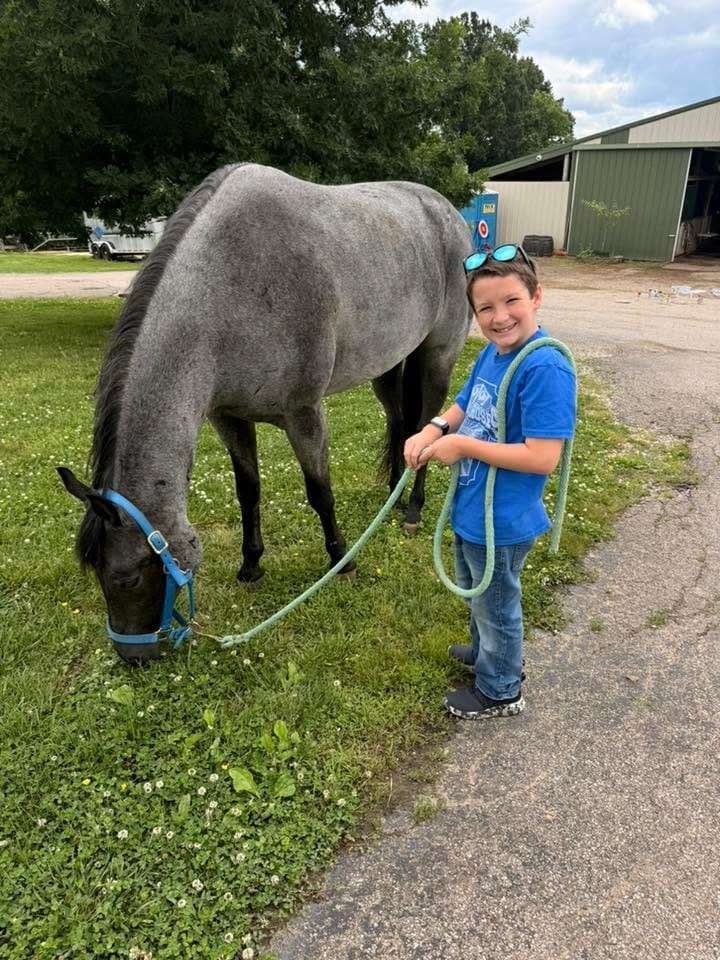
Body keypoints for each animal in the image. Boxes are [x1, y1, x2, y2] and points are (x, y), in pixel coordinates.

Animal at [58, 163, 473, 663]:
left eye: (127, 577)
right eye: (96, 574)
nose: (133, 656)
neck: (229, 290)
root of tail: (448, 212)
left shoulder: (304, 415)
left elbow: (320, 493)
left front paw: (342, 561)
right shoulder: (229, 418)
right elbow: (248, 492)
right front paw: (251, 565)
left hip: (437, 357)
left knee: (428, 425)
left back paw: (411, 509)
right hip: (389, 364)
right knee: (399, 424)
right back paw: (393, 491)